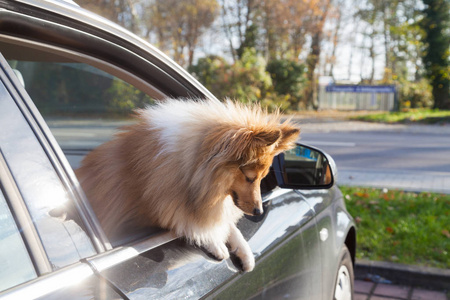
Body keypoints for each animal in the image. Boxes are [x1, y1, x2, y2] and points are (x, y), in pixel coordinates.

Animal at [75, 98, 300, 272]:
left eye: (262, 178)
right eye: (249, 177)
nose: (258, 211)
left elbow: (225, 223)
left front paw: (246, 253)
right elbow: (188, 220)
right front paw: (214, 242)